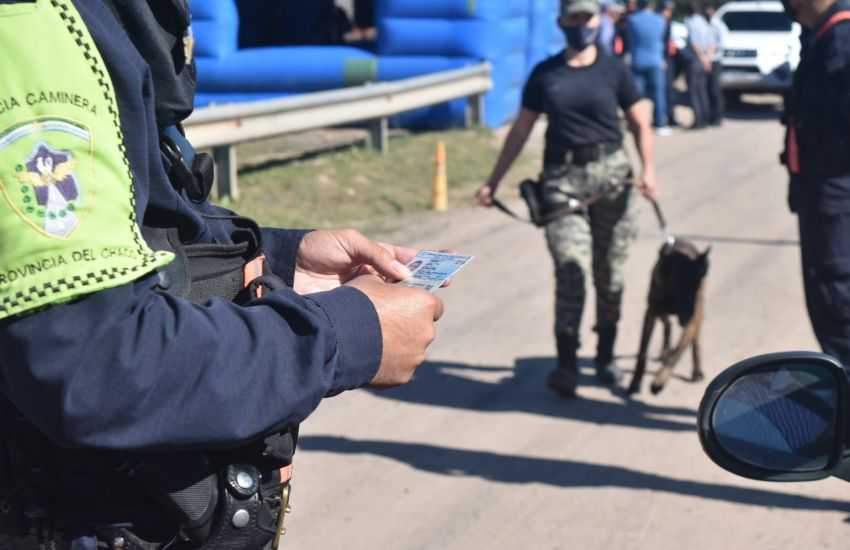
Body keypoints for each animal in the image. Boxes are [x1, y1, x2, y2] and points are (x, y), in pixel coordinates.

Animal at [627, 238, 710, 395]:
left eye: (696, 284)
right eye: (679, 282)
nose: (688, 315)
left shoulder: (692, 319)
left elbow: (676, 353)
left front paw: (659, 381)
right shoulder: (650, 314)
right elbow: (642, 352)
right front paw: (635, 383)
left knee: (694, 341)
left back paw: (696, 370)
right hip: (661, 313)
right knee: (667, 325)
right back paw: (664, 351)